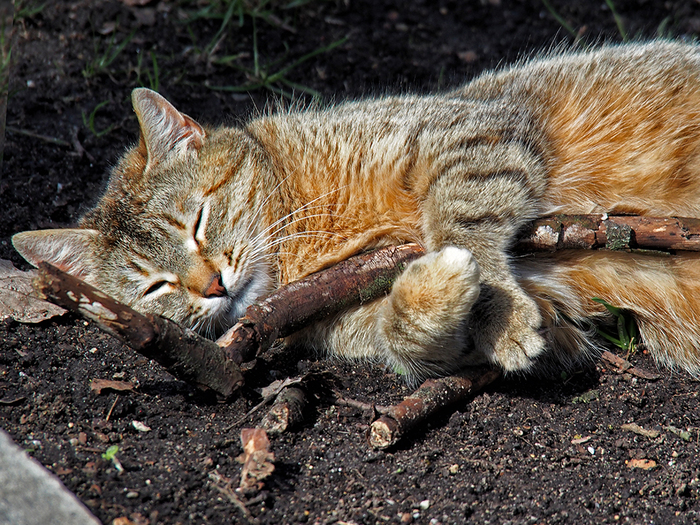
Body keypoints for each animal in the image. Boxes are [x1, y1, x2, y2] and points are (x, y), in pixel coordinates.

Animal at [9, 39, 700, 378]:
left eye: (198, 221)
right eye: (155, 288)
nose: (211, 286)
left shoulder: (474, 134)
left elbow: (460, 221)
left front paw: (498, 309)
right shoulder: (352, 323)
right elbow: (407, 335)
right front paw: (439, 296)